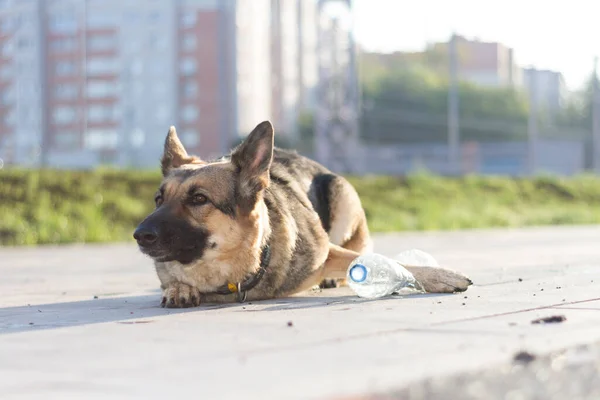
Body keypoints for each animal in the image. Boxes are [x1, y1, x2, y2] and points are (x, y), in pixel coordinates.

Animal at [132, 120, 474, 308]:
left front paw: (439, 276)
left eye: (199, 199)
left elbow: (389, 262)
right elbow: (173, 281)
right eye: (158, 199)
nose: (139, 235)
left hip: (341, 193)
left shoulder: (325, 250)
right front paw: (179, 287)